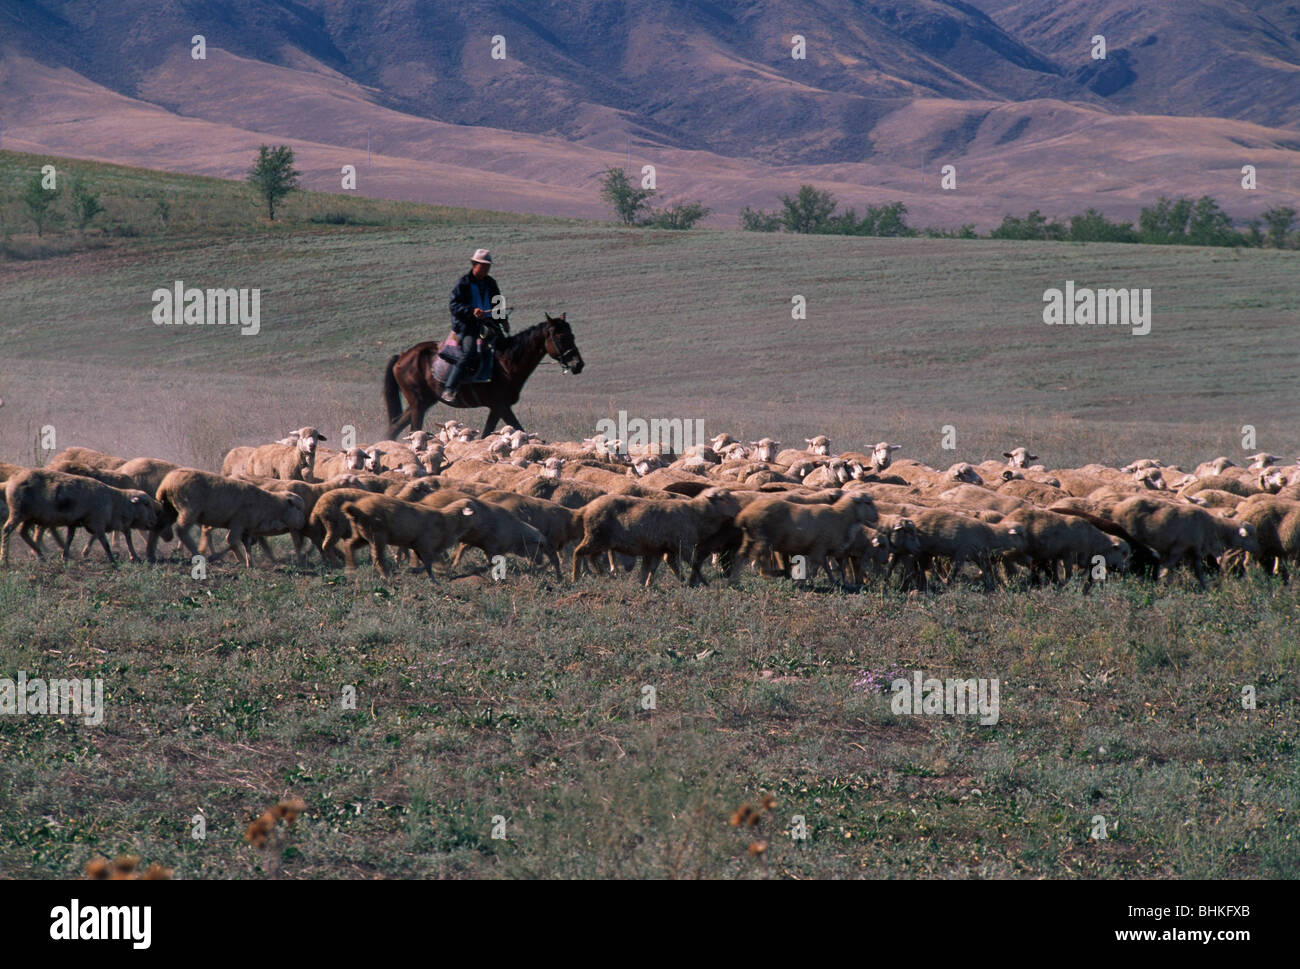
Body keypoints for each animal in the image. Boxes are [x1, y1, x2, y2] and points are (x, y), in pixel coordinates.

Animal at [379, 313, 585, 439]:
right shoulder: (502, 406)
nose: (578, 364)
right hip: (418, 404)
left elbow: (487, 434)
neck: (507, 362)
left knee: (394, 428)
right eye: (560, 337)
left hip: (423, 402)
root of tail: (402, 356)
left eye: (572, 336)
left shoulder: (496, 408)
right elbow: (518, 428)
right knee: (412, 429)